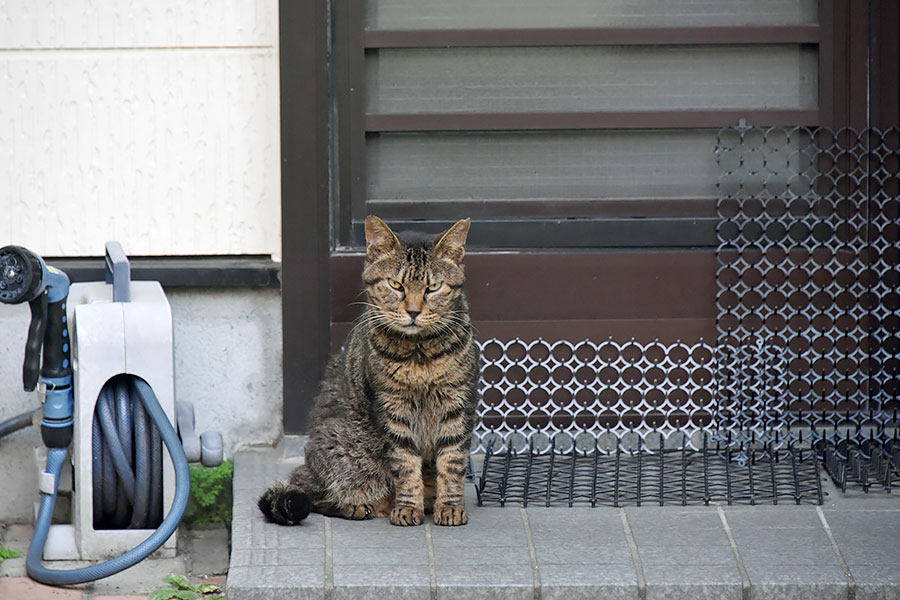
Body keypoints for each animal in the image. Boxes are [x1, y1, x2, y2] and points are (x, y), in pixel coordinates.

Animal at [260, 216, 482, 524]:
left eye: (434, 287)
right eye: (395, 285)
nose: (414, 311)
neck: (420, 354)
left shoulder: (458, 403)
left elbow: (452, 462)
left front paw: (449, 506)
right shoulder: (392, 407)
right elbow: (405, 463)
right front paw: (407, 507)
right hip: (341, 451)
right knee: (315, 494)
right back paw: (361, 506)